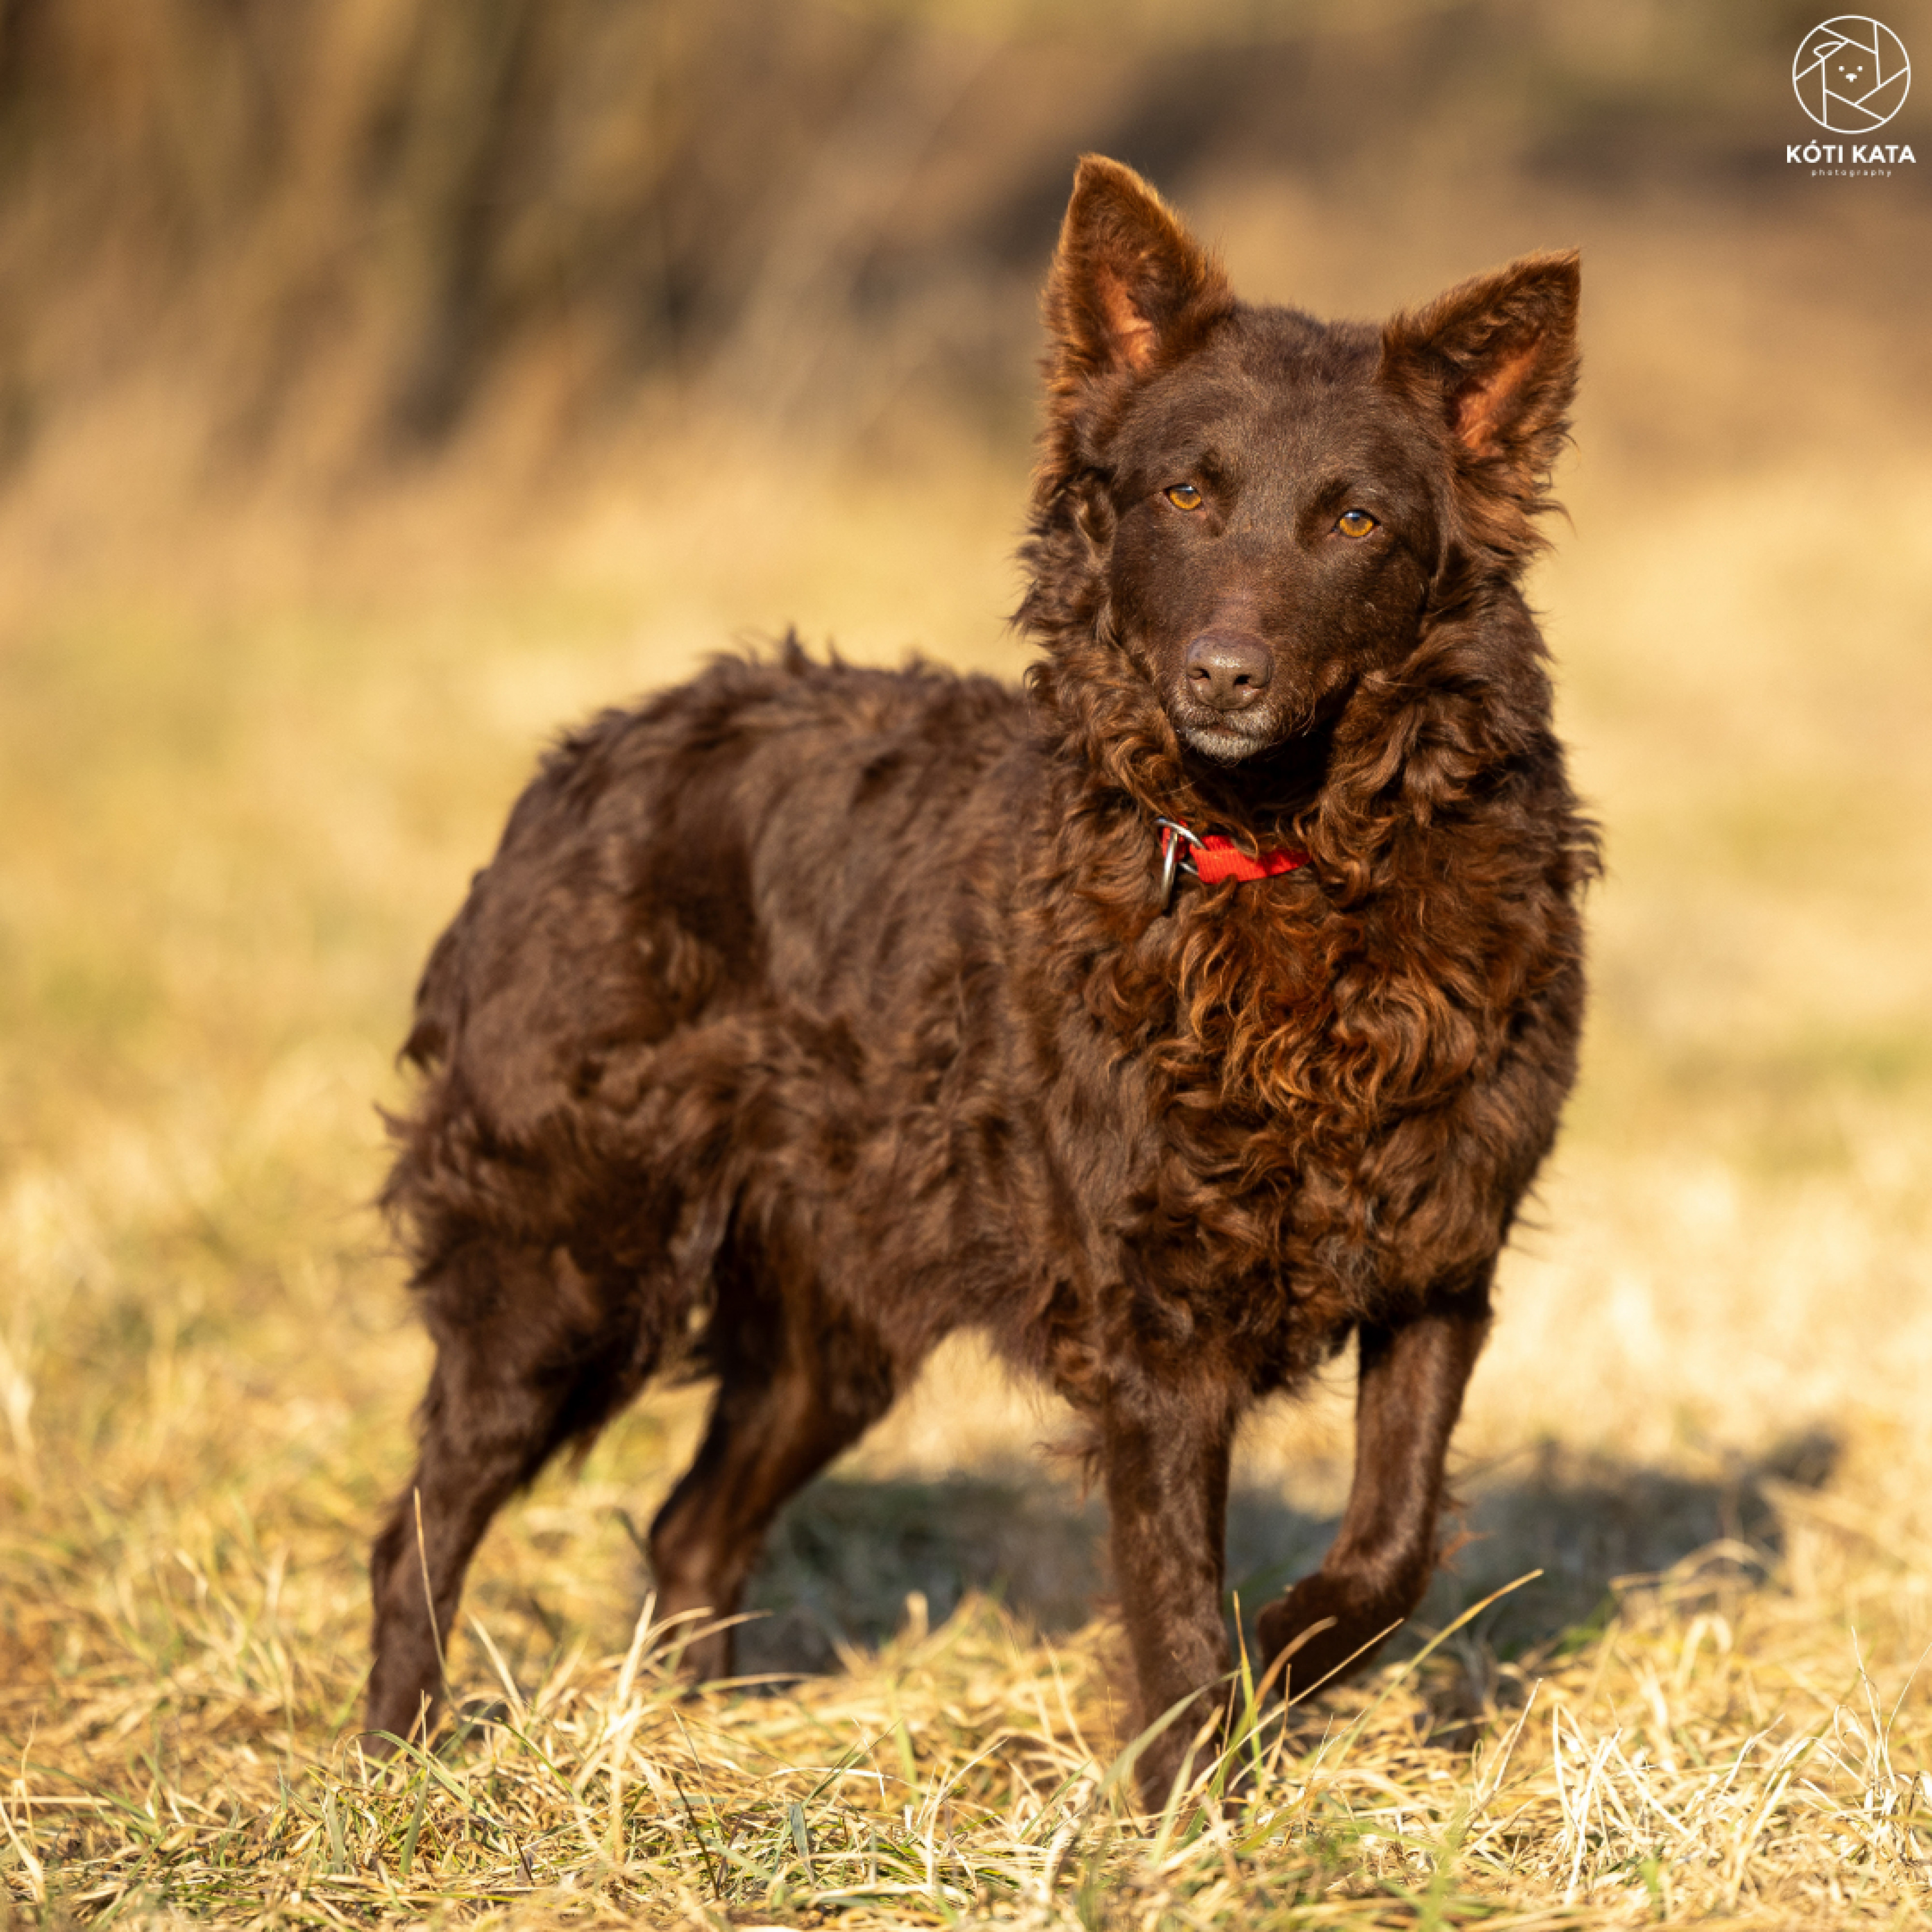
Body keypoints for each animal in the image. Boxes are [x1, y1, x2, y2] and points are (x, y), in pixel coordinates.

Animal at [369, 158, 1592, 1801]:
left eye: (1355, 520)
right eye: (1185, 495)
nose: (1222, 675)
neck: (1280, 866)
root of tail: (580, 760)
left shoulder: (1439, 1260)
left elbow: (1387, 1552)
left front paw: (1277, 1673)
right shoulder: (1153, 1324)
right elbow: (1175, 1599)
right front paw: (1192, 1792)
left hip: (834, 1322)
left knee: (690, 1526)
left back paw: (692, 1748)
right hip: (565, 1258)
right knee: (420, 1530)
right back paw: (393, 1766)